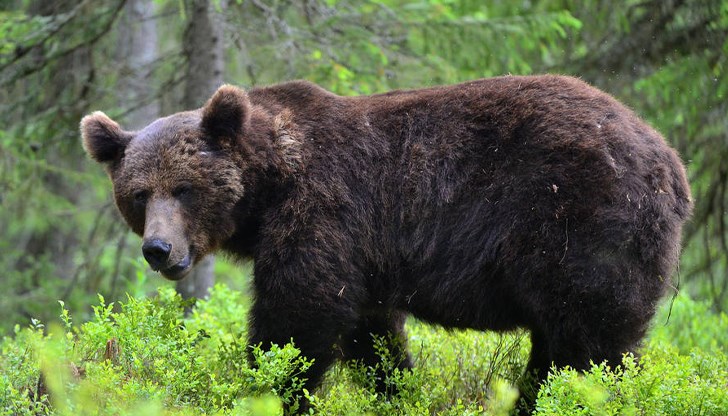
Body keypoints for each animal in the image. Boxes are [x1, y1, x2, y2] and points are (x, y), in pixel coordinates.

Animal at [82, 75, 692, 410]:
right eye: (139, 194)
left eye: (184, 188)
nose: (159, 250)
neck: (272, 184)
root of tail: (668, 156)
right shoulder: (365, 254)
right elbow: (371, 334)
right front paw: (398, 388)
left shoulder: (326, 213)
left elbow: (298, 318)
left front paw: (266, 386)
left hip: (581, 221)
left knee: (592, 339)